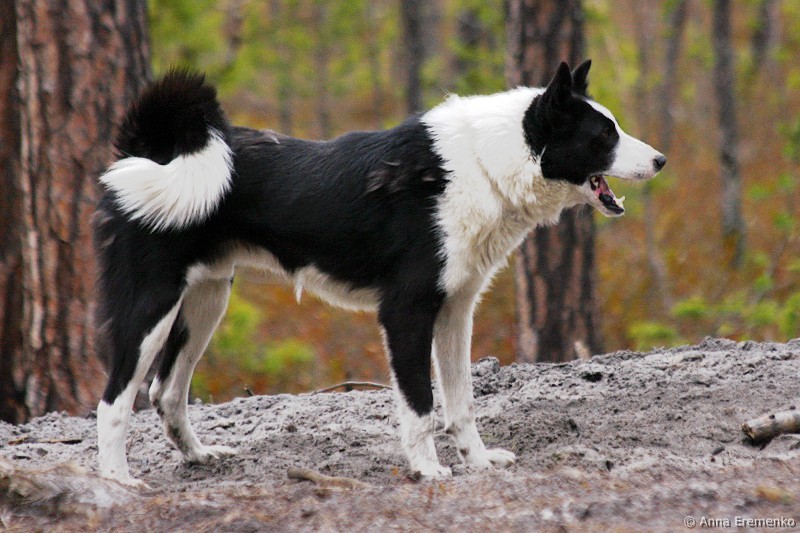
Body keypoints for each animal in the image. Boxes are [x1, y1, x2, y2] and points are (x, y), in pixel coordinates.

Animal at [93, 59, 665, 486]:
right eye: (603, 135)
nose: (661, 159)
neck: (485, 164)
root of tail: (150, 151)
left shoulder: (455, 313)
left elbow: (461, 404)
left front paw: (478, 463)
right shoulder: (406, 312)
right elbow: (421, 406)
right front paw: (428, 471)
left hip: (206, 302)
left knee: (166, 392)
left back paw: (199, 457)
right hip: (150, 310)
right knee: (114, 402)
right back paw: (117, 482)